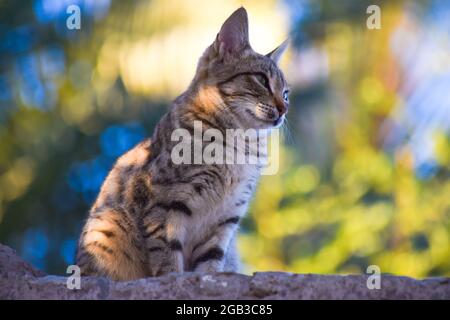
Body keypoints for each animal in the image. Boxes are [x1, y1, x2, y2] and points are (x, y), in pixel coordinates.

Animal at [75, 6, 290, 280]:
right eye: (262, 80)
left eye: (286, 93)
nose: (284, 109)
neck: (240, 143)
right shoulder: (164, 205)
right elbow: (168, 259)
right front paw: (173, 278)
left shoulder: (227, 216)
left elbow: (210, 263)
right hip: (105, 227)